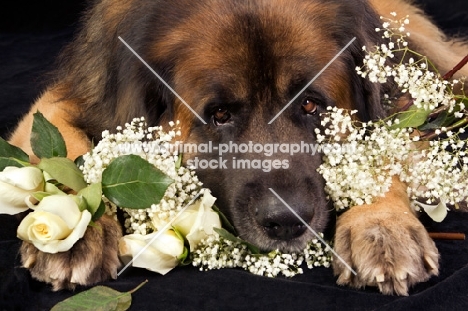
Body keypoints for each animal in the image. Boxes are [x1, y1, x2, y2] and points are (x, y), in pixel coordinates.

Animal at [9, 0, 468, 296]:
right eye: (220, 114)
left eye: (309, 104)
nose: (286, 222)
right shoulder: (65, 101)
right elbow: (67, 152)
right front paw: (76, 228)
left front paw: (383, 226)